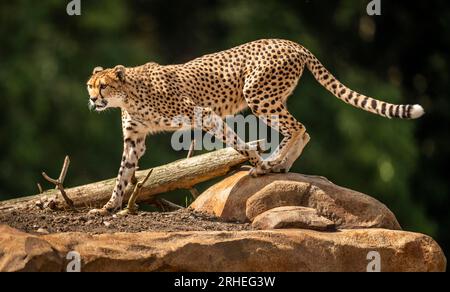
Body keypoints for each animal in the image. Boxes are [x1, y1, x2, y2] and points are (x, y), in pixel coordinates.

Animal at [86, 38, 424, 213]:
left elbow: (236, 141)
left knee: (299, 127)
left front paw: (256, 161)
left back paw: (270, 166)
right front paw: (108, 207)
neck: (128, 95)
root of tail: (291, 42)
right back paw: (279, 165)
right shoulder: (135, 140)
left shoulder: (204, 114)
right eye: (90, 85)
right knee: (302, 130)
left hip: (258, 93)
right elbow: (123, 174)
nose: (92, 100)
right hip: (271, 96)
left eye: (103, 86)